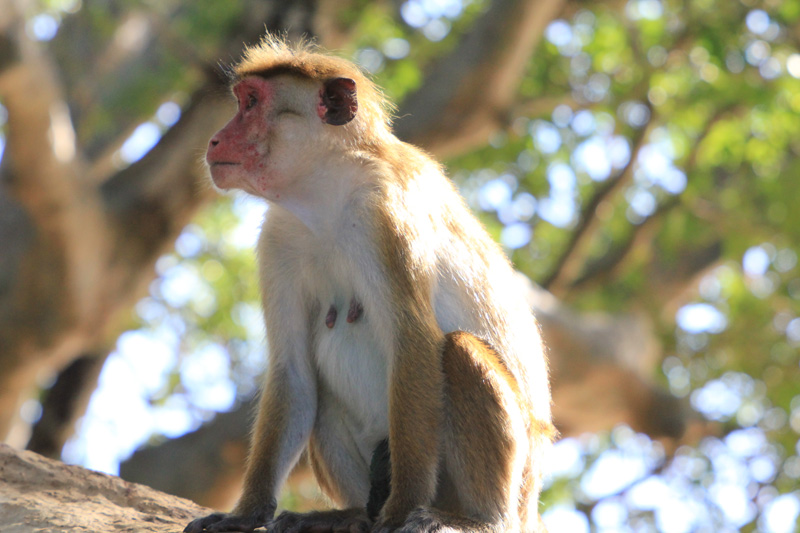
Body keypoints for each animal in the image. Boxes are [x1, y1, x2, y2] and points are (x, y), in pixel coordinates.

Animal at [184, 35, 556, 533]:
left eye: (251, 103)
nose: (215, 138)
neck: (325, 196)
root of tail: (529, 506)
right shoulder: (278, 238)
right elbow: (294, 370)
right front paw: (245, 515)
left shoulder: (386, 216)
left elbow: (415, 345)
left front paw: (399, 512)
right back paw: (353, 513)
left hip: (515, 485)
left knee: (459, 350)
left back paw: (478, 519)